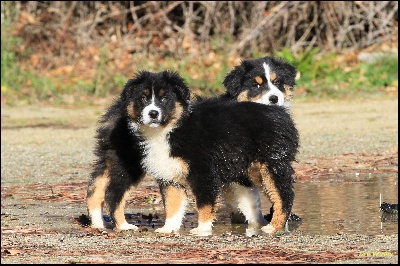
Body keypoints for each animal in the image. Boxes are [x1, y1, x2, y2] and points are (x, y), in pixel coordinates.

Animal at [91, 69, 300, 234]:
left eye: (164, 98)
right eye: (142, 98)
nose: (153, 113)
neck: (171, 130)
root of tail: (280, 112)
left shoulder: (204, 171)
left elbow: (204, 203)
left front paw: (202, 229)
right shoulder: (170, 174)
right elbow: (173, 204)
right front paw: (168, 229)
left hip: (271, 163)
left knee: (283, 195)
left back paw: (274, 226)